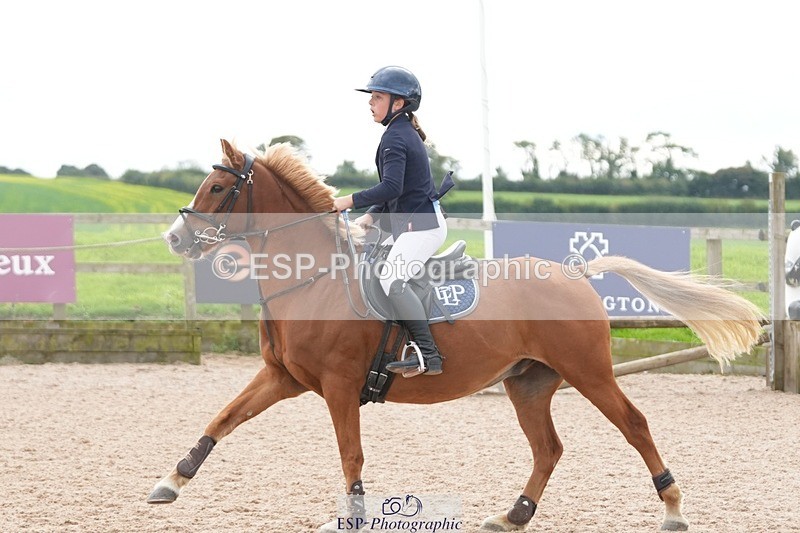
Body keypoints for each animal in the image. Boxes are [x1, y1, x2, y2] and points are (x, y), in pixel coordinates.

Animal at [149, 139, 764, 531]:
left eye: (219, 186)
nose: (173, 239)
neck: (312, 279)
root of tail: (576, 272)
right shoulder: (282, 378)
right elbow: (223, 419)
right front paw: (172, 482)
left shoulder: (339, 387)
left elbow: (351, 454)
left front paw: (352, 517)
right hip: (529, 382)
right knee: (548, 448)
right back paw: (513, 515)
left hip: (588, 372)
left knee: (634, 425)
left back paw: (673, 509)